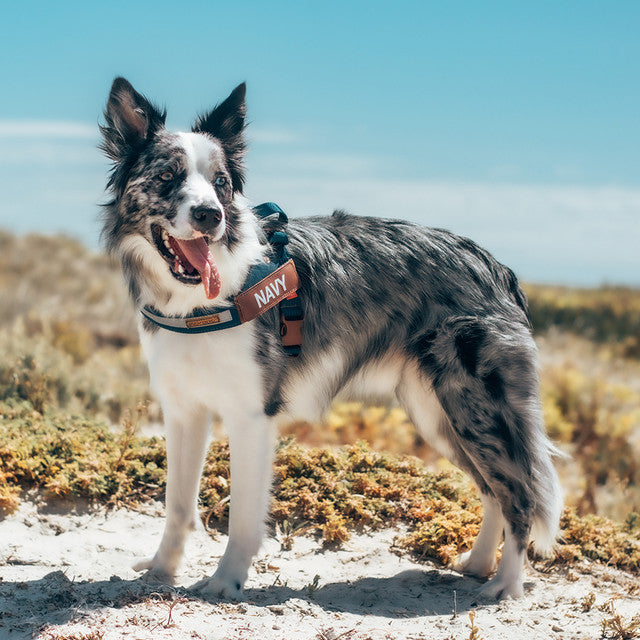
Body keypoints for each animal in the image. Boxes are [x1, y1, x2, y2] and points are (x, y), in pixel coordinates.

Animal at [99, 79, 560, 600]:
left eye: (220, 184)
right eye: (167, 176)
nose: (209, 215)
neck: (199, 305)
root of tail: (497, 266)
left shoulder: (251, 414)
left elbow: (242, 518)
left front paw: (225, 581)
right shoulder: (184, 412)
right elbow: (177, 505)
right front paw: (162, 570)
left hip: (474, 407)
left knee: (520, 493)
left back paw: (506, 586)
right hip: (438, 412)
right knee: (493, 489)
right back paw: (480, 564)